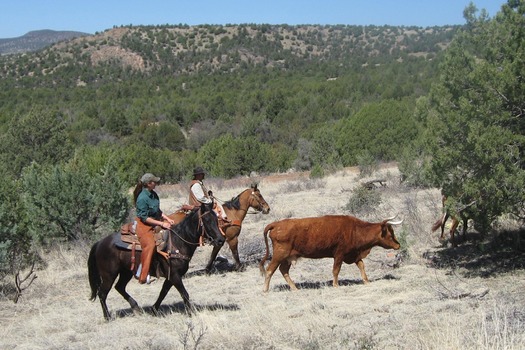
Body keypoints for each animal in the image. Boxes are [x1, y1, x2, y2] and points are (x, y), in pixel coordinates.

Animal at [86, 202, 225, 320]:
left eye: (216, 219)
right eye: (207, 220)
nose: (221, 240)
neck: (177, 242)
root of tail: (99, 243)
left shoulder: (171, 277)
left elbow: (163, 292)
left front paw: (154, 309)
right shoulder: (175, 276)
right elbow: (184, 293)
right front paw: (191, 313)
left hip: (126, 272)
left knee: (119, 287)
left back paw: (135, 307)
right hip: (109, 275)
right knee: (102, 293)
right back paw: (107, 317)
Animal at [258, 215, 402, 292]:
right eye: (390, 234)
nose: (398, 245)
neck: (355, 230)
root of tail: (276, 224)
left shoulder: (354, 254)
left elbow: (361, 266)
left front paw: (366, 281)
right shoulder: (339, 254)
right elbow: (336, 270)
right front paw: (335, 285)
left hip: (287, 258)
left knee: (283, 270)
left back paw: (295, 288)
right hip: (279, 255)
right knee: (270, 270)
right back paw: (265, 289)